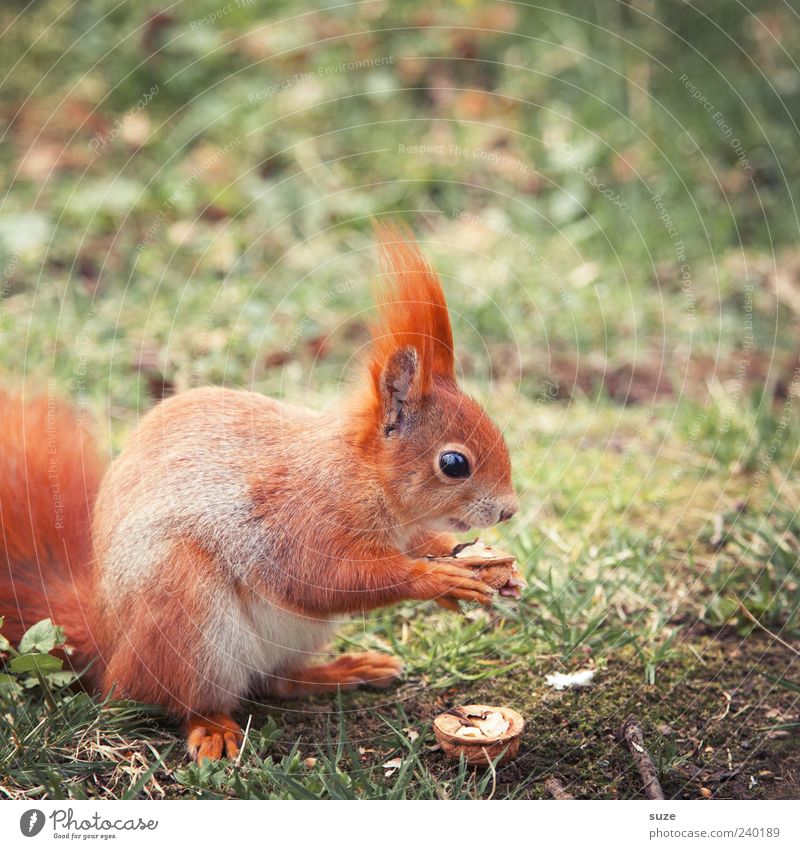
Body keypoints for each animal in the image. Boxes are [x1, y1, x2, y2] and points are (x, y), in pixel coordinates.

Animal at [0, 224, 520, 760]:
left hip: (292, 636)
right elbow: (327, 577)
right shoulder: (298, 519)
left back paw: (342, 671)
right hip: (184, 613)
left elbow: (421, 546)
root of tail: (106, 646)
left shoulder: (404, 530)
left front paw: (491, 571)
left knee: (278, 682)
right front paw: (438, 580)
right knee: (181, 697)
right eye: (454, 464)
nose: (509, 510)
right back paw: (212, 726)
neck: (362, 476)